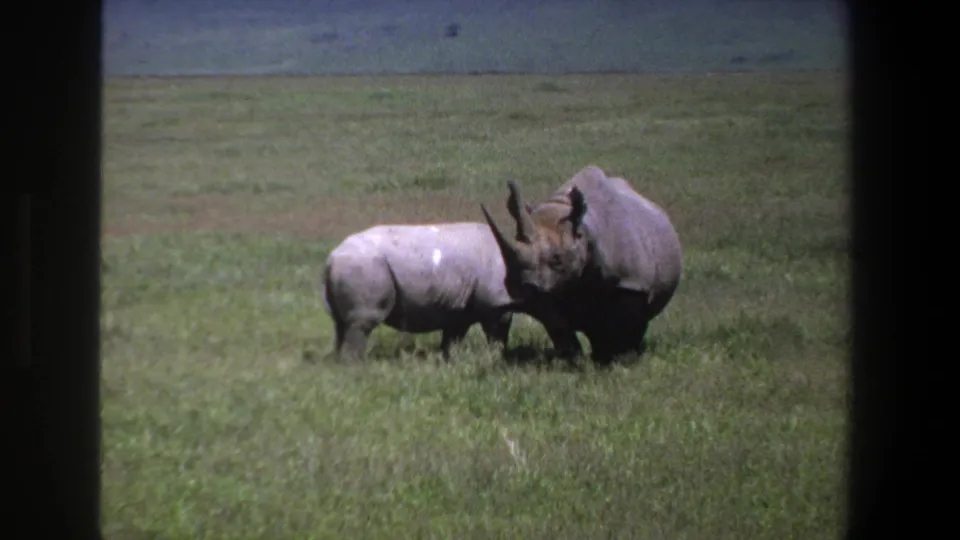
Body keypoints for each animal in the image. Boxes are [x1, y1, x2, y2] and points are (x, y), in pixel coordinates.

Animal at [320, 222, 517, 361]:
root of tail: (331, 259)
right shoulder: (496, 303)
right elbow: (498, 335)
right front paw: (496, 358)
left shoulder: (459, 308)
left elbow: (452, 340)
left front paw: (450, 362)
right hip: (363, 266)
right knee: (361, 322)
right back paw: (357, 368)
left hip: (353, 265)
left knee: (341, 323)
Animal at [480, 166, 683, 364]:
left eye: (557, 259)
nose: (519, 286)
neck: (584, 232)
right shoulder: (547, 289)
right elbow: (559, 327)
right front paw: (571, 360)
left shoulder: (633, 282)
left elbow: (625, 323)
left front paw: (620, 359)